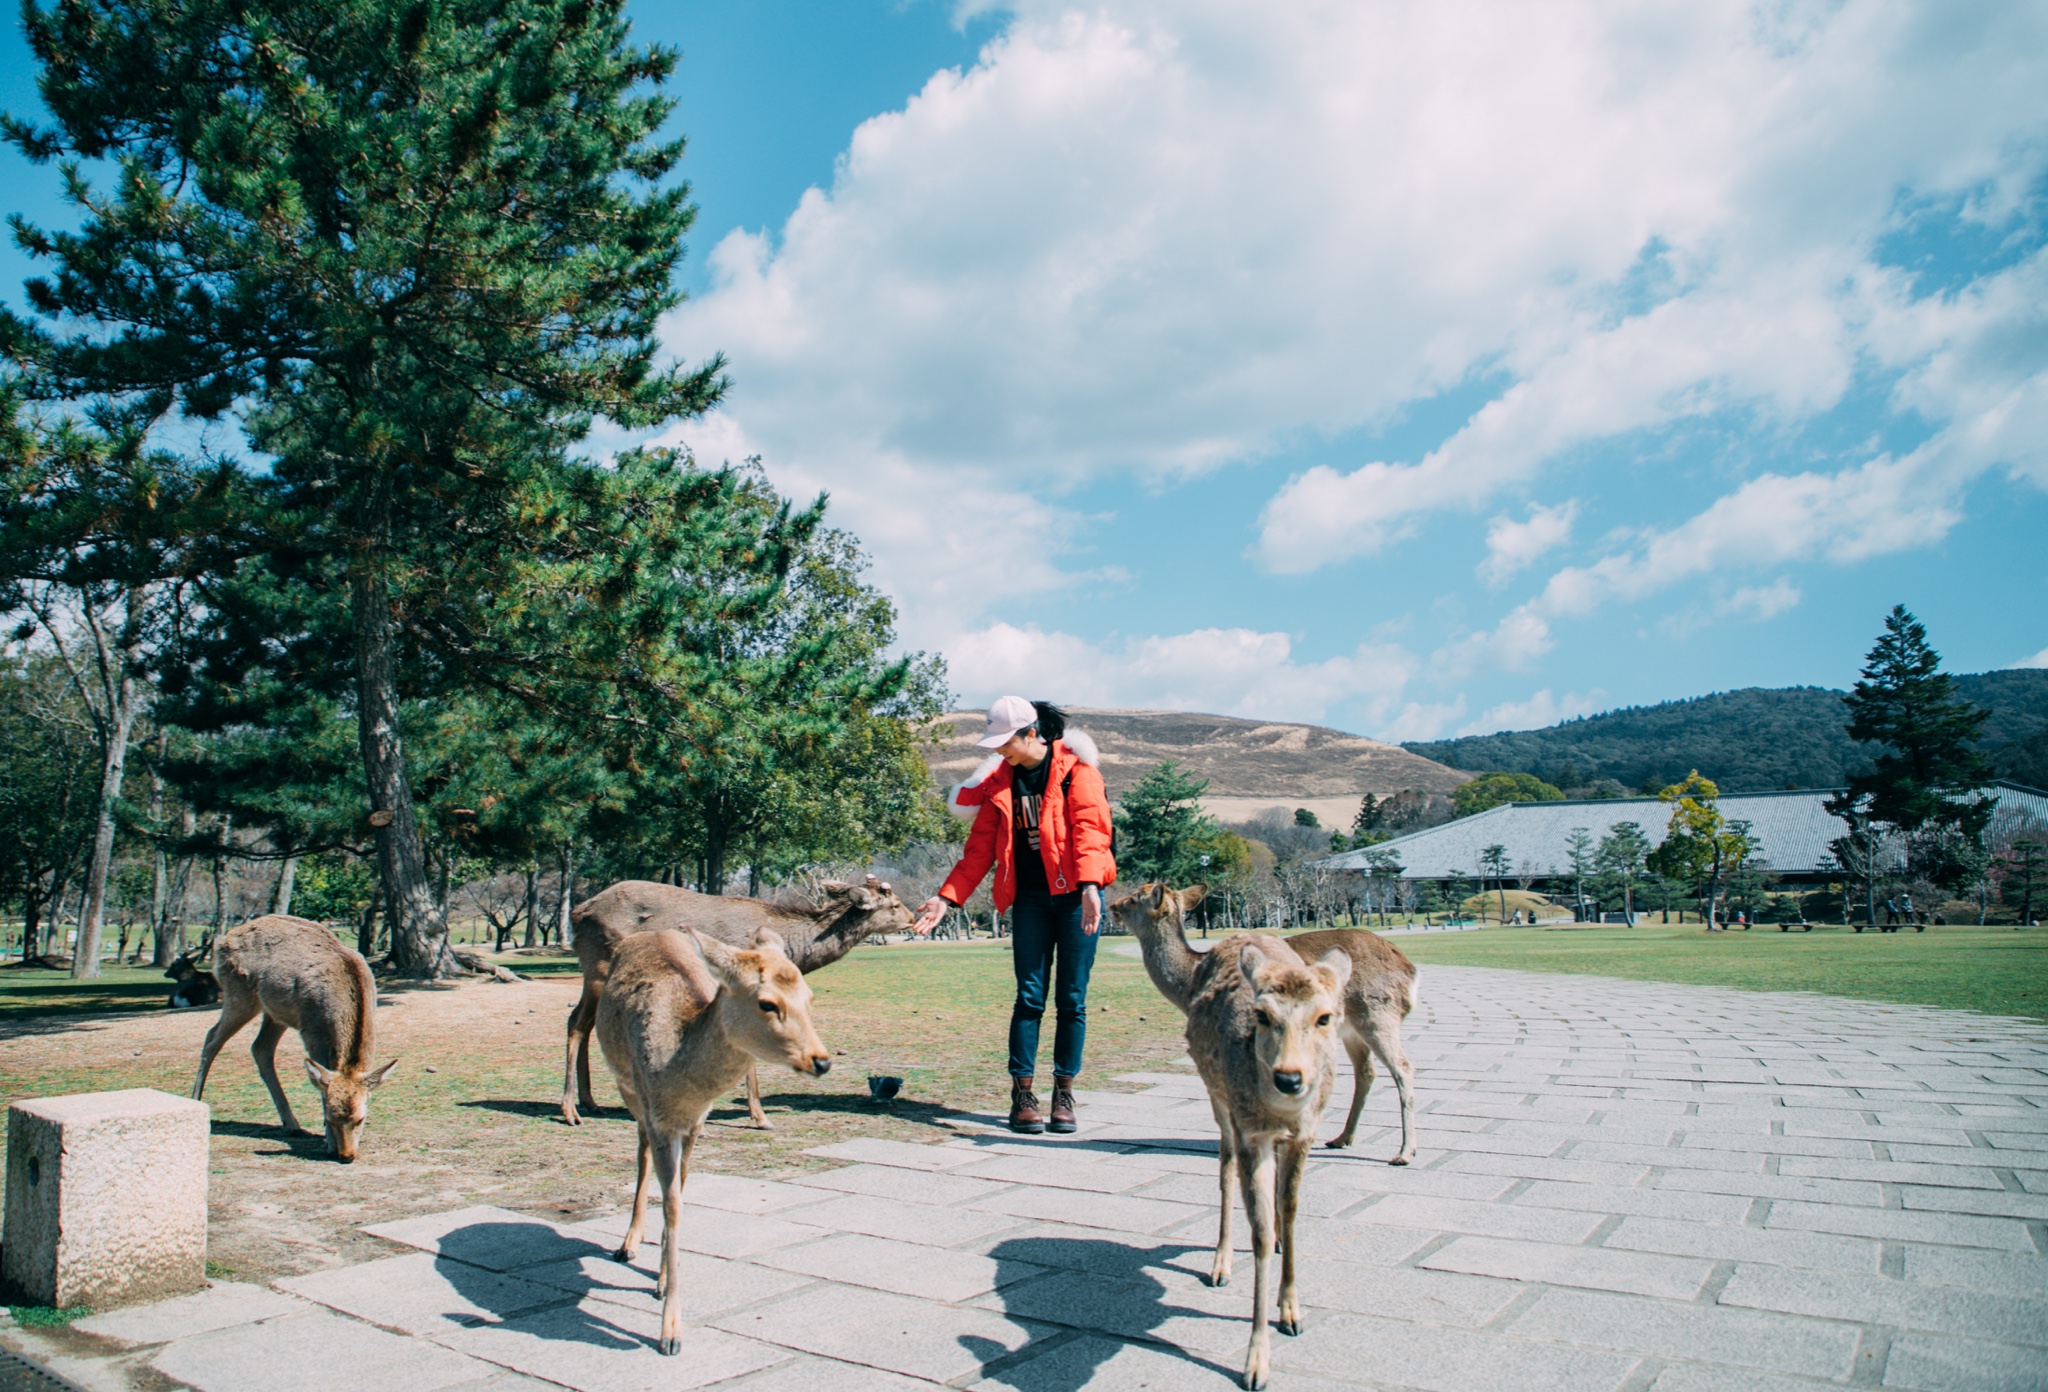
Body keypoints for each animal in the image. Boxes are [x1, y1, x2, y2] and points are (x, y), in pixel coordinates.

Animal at [191, 912, 399, 1162]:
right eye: (330, 1117)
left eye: (361, 1119)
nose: (346, 1155)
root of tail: (222, 941)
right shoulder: (311, 1031)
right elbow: (321, 1080)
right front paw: (329, 1142)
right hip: (239, 996)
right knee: (212, 1038)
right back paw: (195, 1100)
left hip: (275, 1013)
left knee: (260, 1048)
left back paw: (291, 1124)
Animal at [561, 880, 913, 1129]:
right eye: (894, 904)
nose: (913, 918)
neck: (791, 948)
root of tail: (577, 914)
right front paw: (760, 1117)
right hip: (597, 967)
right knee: (576, 1023)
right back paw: (570, 1110)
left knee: (584, 1023)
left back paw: (590, 1102)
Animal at [598, 929, 831, 1351]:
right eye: (767, 1002)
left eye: (809, 997)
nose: (821, 1061)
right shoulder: (657, 1115)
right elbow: (671, 1204)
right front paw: (670, 1334)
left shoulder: (695, 1122)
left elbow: (681, 1192)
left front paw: (661, 1280)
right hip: (627, 1089)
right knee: (639, 1151)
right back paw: (627, 1244)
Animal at [1114, 884, 1417, 1170]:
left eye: (1136, 897)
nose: (1114, 904)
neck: (1190, 982)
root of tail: (1411, 971)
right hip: (1351, 1029)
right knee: (1366, 1071)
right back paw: (1341, 1138)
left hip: (1377, 1015)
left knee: (1403, 1067)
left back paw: (1404, 1153)